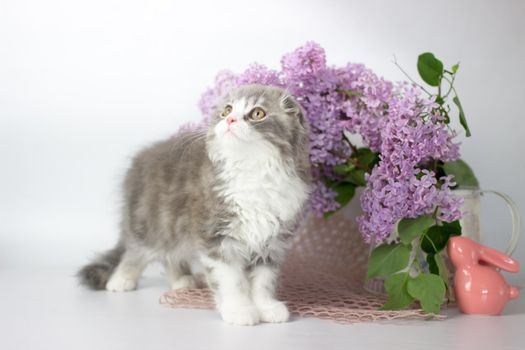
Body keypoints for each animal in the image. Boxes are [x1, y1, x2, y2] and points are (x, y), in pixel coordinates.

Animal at [78, 85, 312, 326]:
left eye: (258, 113)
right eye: (227, 110)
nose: (229, 120)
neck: (252, 172)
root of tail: (139, 161)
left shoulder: (272, 241)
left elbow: (264, 280)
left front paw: (266, 307)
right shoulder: (216, 237)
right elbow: (232, 280)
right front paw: (239, 310)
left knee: (168, 255)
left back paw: (181, 280)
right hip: (150, 222)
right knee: (135, 252)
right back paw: (121, 279)